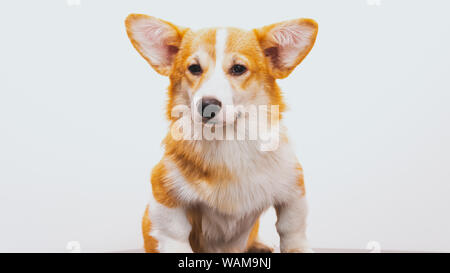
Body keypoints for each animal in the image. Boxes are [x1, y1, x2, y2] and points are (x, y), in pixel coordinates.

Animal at [125, 13, 318, 252]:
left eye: (238, 68)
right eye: (194, 68)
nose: (207, 106)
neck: (228, 141)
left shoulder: (293, 189)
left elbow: (292, 229)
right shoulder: (165, 195)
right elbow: (175, 235)